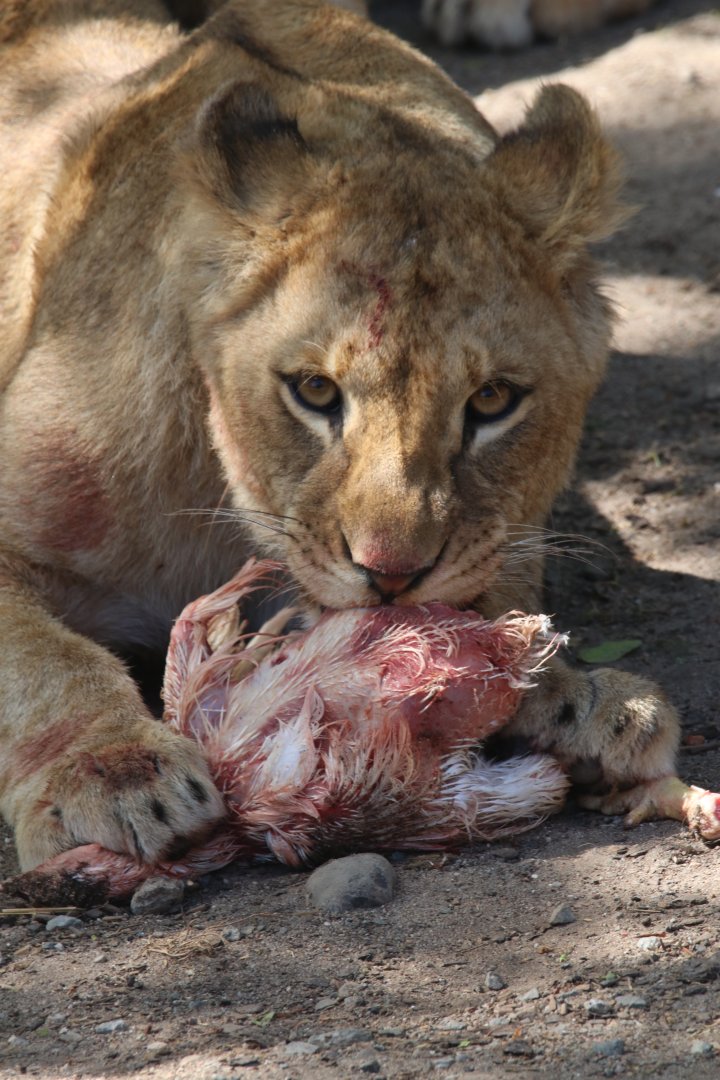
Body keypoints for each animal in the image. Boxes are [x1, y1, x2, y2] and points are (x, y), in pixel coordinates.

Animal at [0, 0, 703, 877]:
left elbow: (491, 593)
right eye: (313, 391)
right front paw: (111, 770)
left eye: (493, 399)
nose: (392, 576)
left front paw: (570, 695)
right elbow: (40, 655)